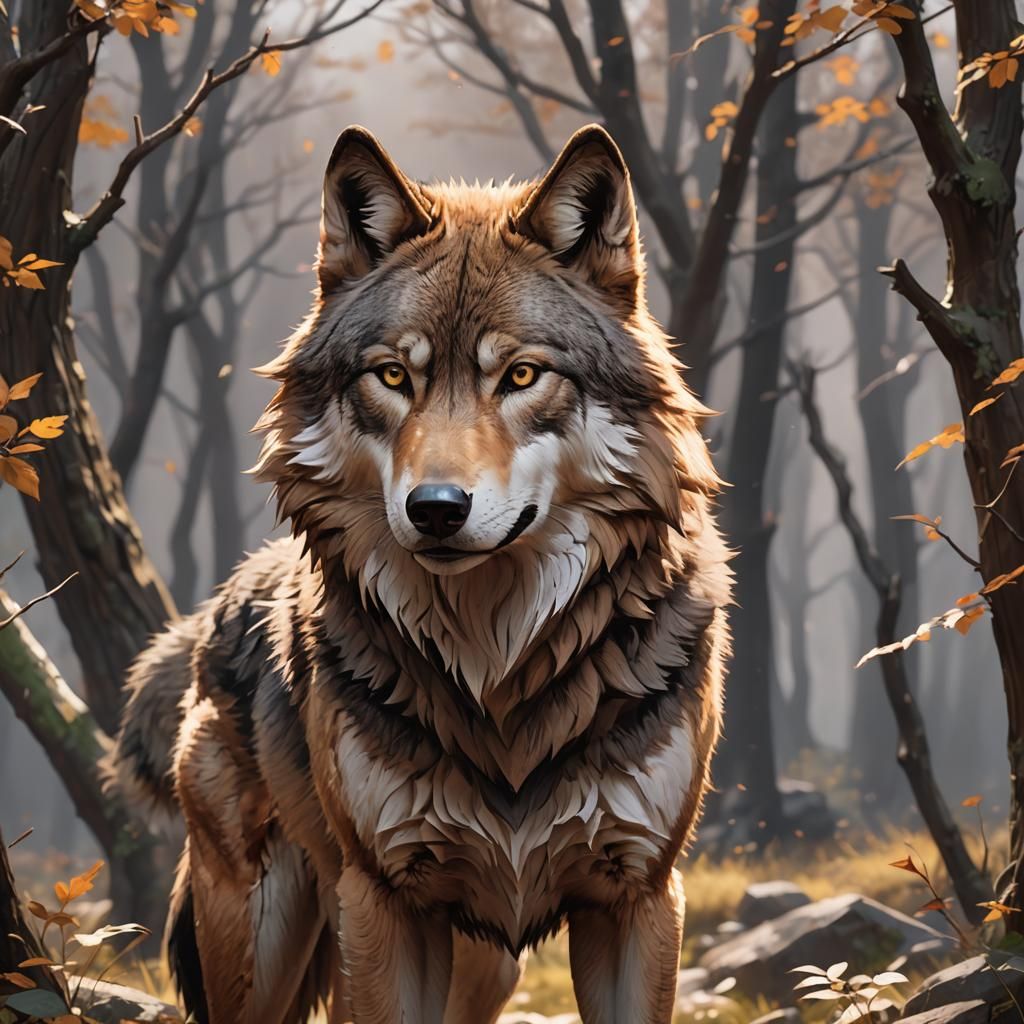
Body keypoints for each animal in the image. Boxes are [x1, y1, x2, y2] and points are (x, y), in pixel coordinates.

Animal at [108, 123, 731, 1024]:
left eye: (520, 374)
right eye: (394, 375)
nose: (436, 508)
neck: (496, 670)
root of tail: (225, 600)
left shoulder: (639, 898)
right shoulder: (385, 903)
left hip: (481, 965)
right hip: (271, 941)